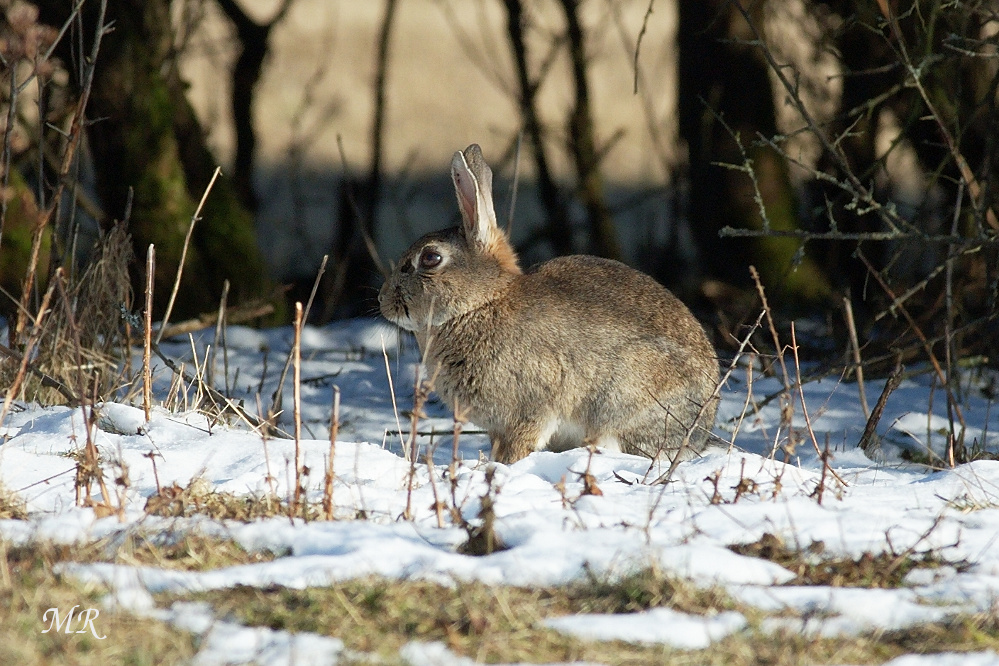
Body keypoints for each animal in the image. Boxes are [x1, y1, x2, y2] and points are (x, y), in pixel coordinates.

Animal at [376, 141, 720, 462]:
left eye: (431, 258)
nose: (383, 300)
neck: (481, 303)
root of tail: (699, 432)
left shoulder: (530, 410)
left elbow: (520, 444)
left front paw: (507, 467)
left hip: (624, 399)